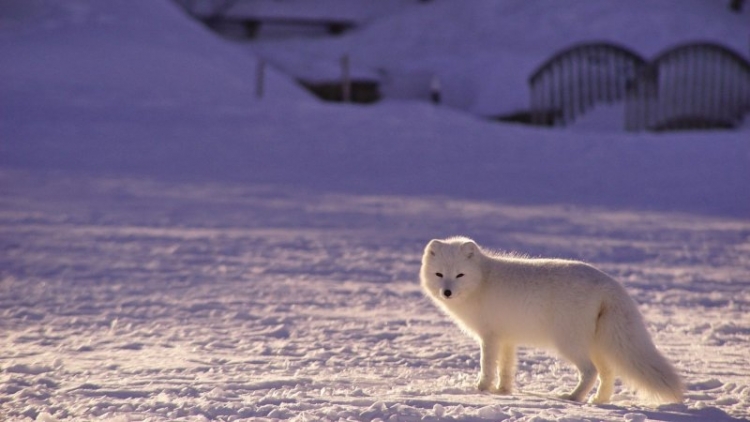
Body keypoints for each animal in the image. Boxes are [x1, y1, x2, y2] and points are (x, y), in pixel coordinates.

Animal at [420, 236, 684, 404]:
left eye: (460, 275)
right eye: (439, 274)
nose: (447, 292)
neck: (482, 281)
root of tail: (610, 284)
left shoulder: (490, 337)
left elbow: (487, 366)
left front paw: (481, 389)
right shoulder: (507, 339)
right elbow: (506, 368)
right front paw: (503, 391)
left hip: (568, 343)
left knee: (590, 371)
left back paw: (573, 397)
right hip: (597, 344)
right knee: (608, 373)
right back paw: (599, 400)